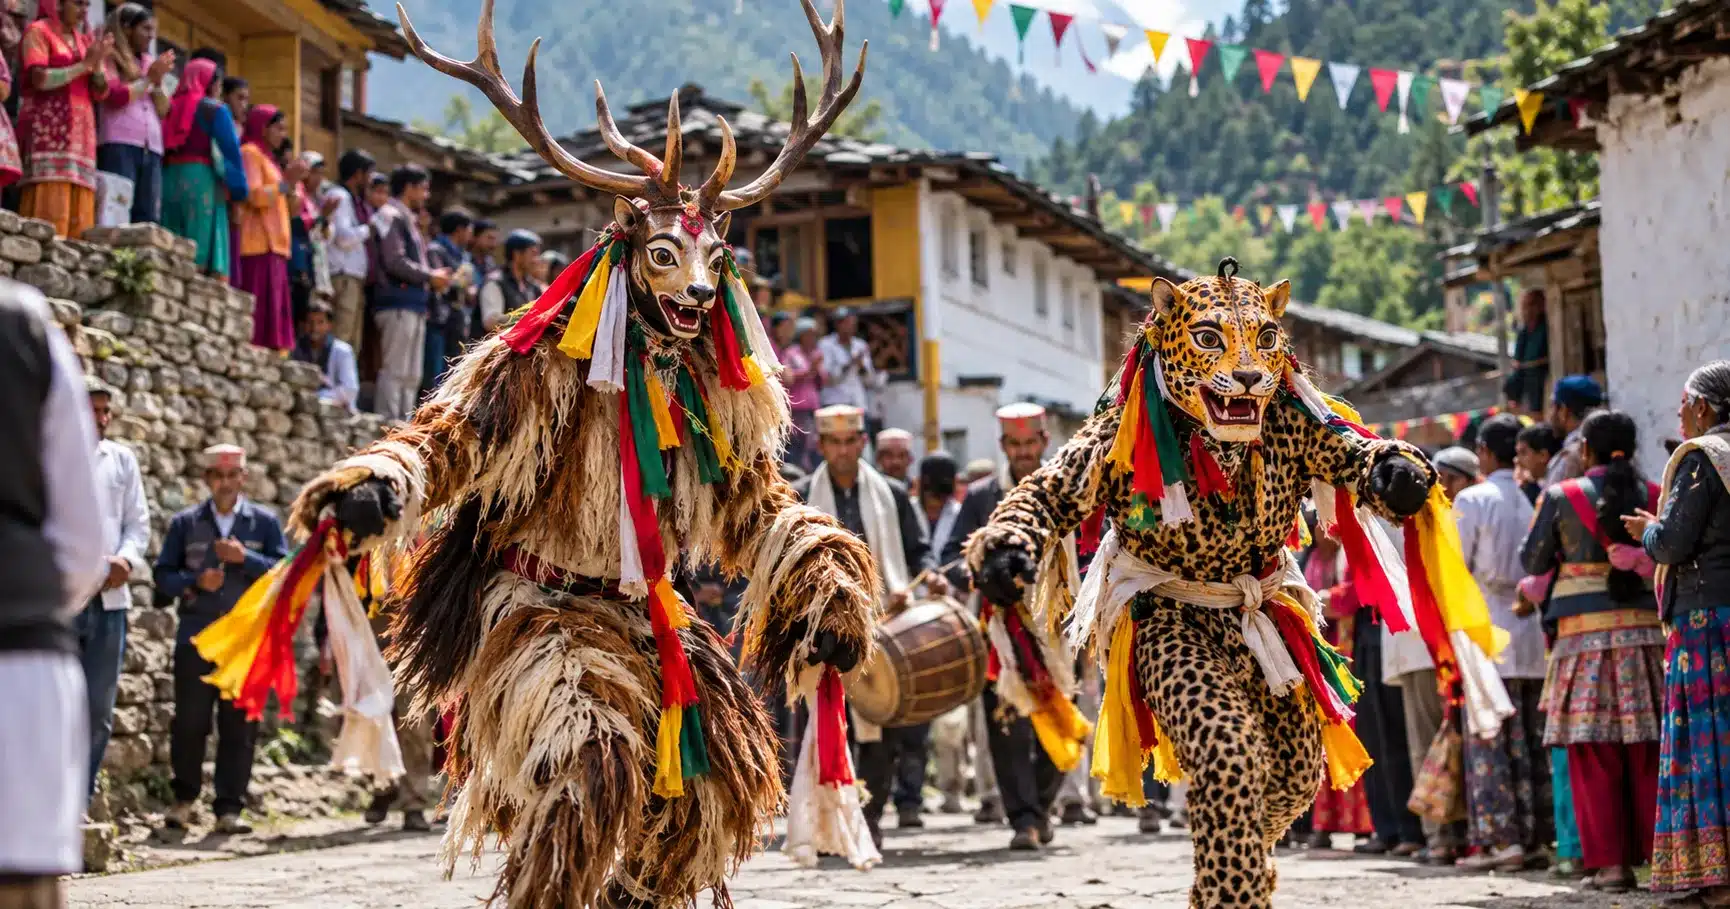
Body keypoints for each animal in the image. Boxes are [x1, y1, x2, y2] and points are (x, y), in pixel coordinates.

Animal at [966, 259, 1437, 909]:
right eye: (1209, 337)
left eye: (1267, 337)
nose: (1248, 377)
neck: (1218, 447)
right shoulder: (1102, 447)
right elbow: (1045, 494)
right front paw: (1003, 557)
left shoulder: (1307, 430)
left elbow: (1352, 456)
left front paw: (1397, 474)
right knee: (1251, 766)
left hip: (1291, 713)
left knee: (1290, 781)